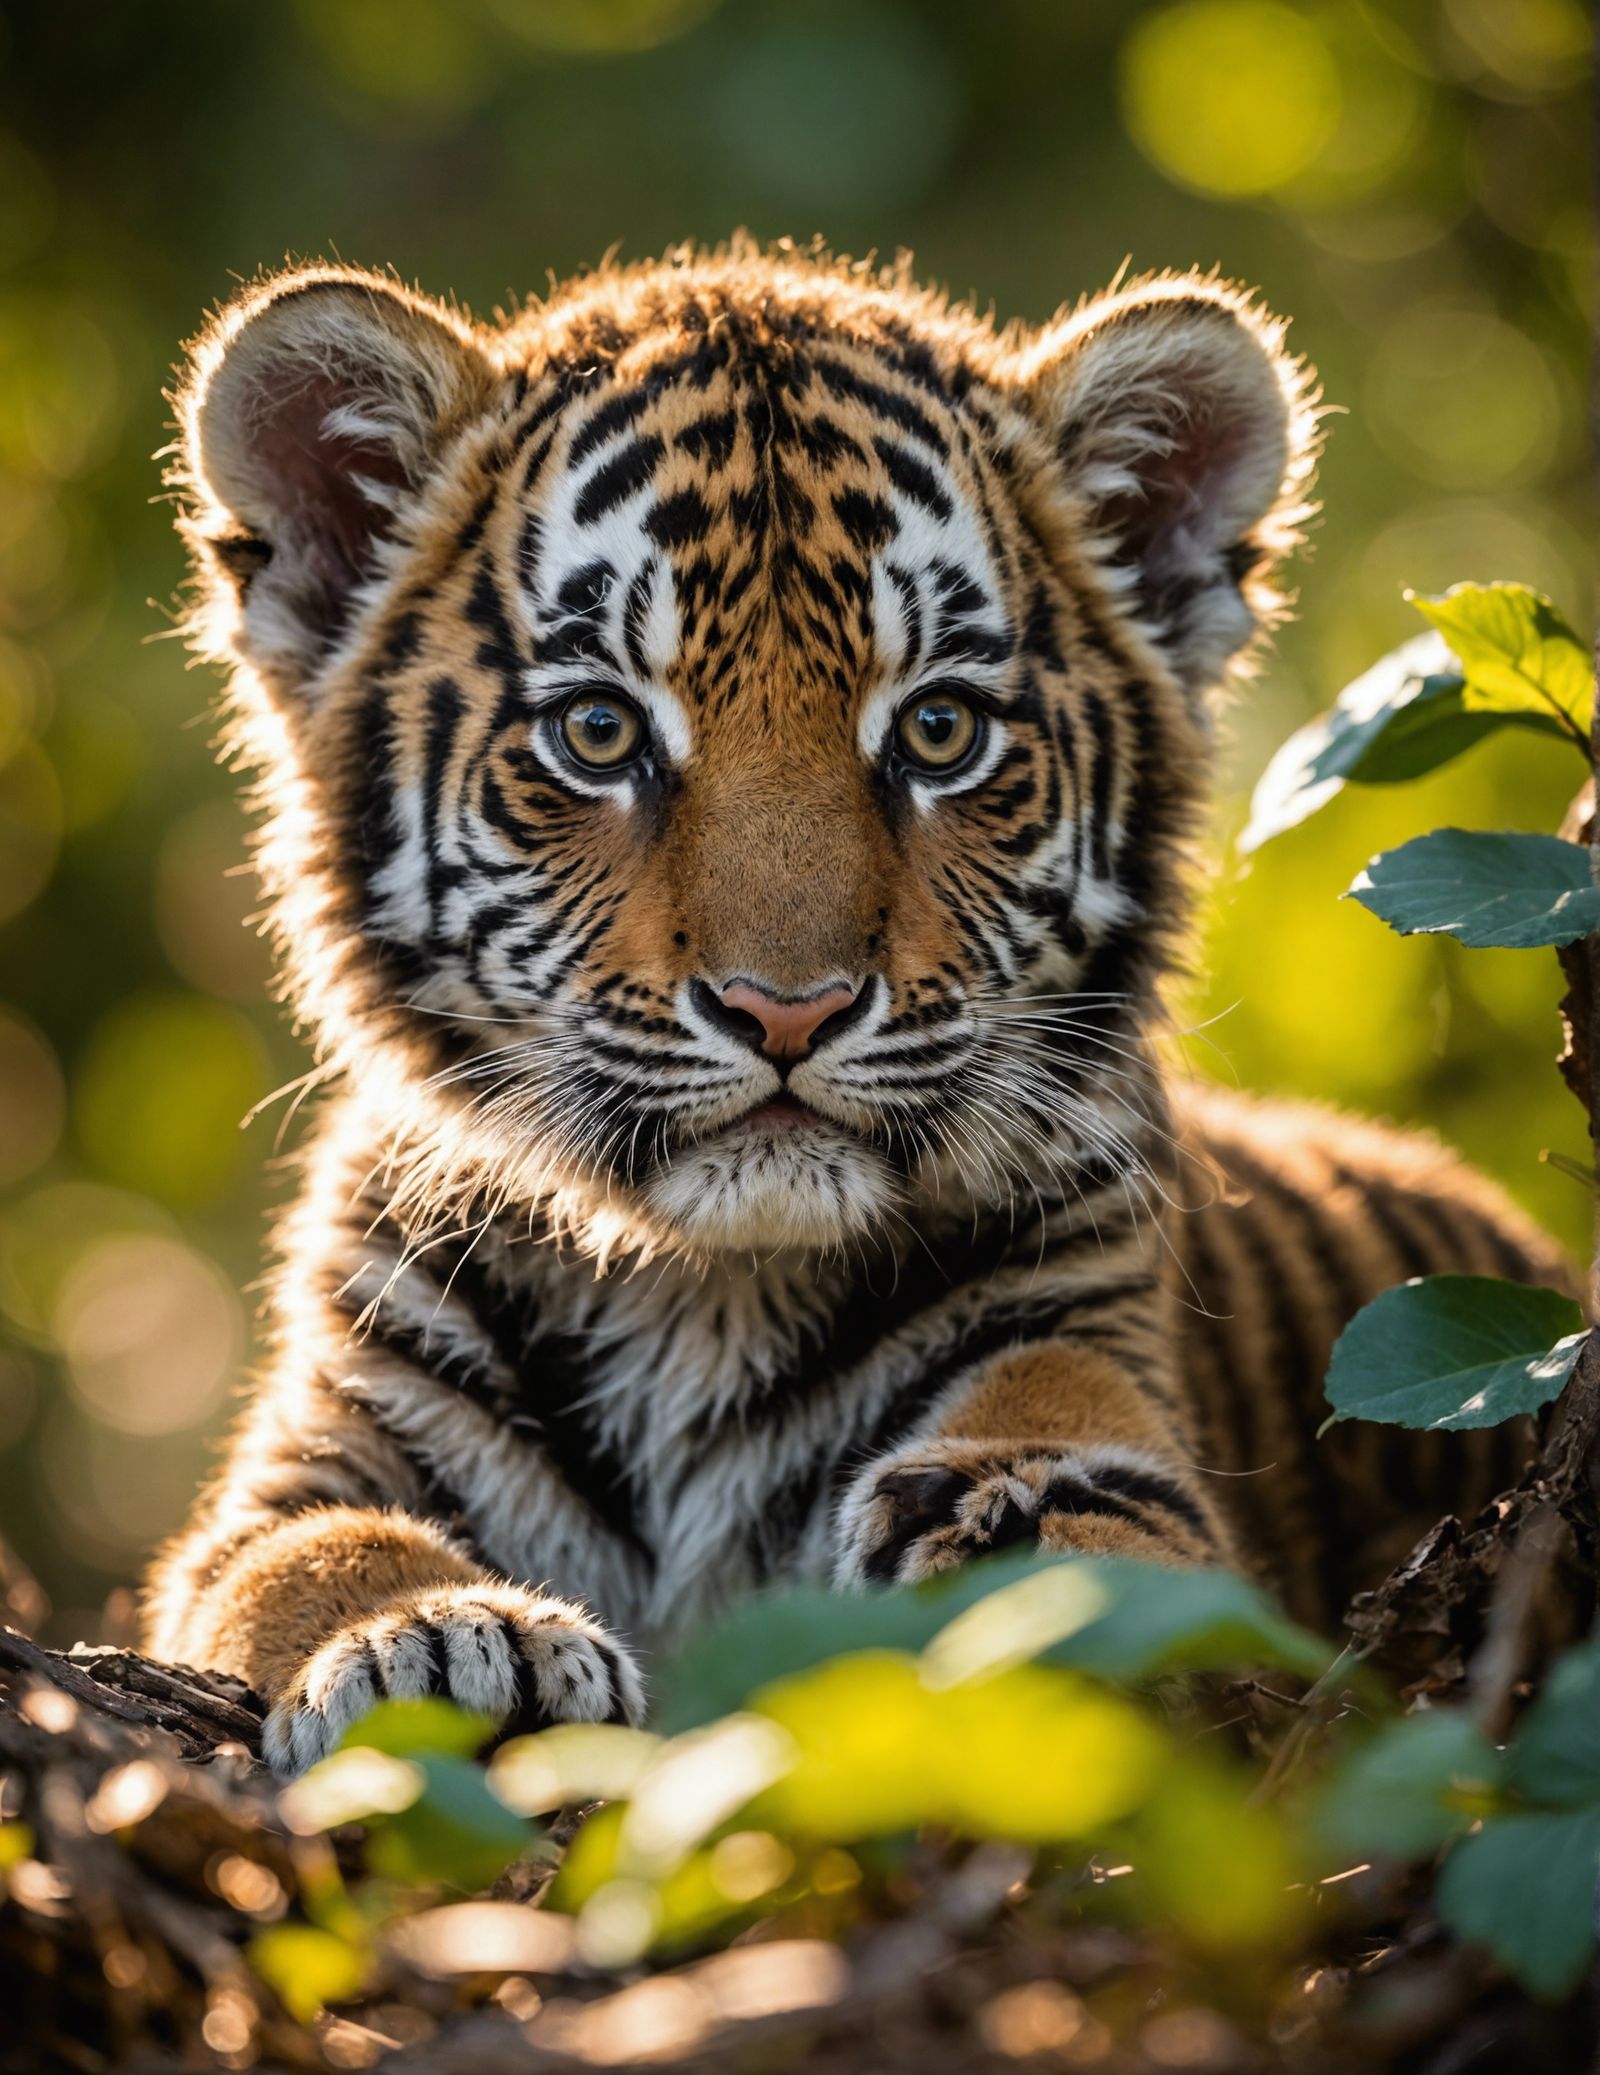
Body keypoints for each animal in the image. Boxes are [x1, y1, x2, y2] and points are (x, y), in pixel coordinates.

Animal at [143, 242, 1569, 1775]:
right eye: (598, 730)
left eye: (939, 730)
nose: (786, 1010)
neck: (702, 1293)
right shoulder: (320, 1437)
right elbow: (296, 1553)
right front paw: (451, 1643)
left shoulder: (1078, 1339)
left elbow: (1099, 1515)